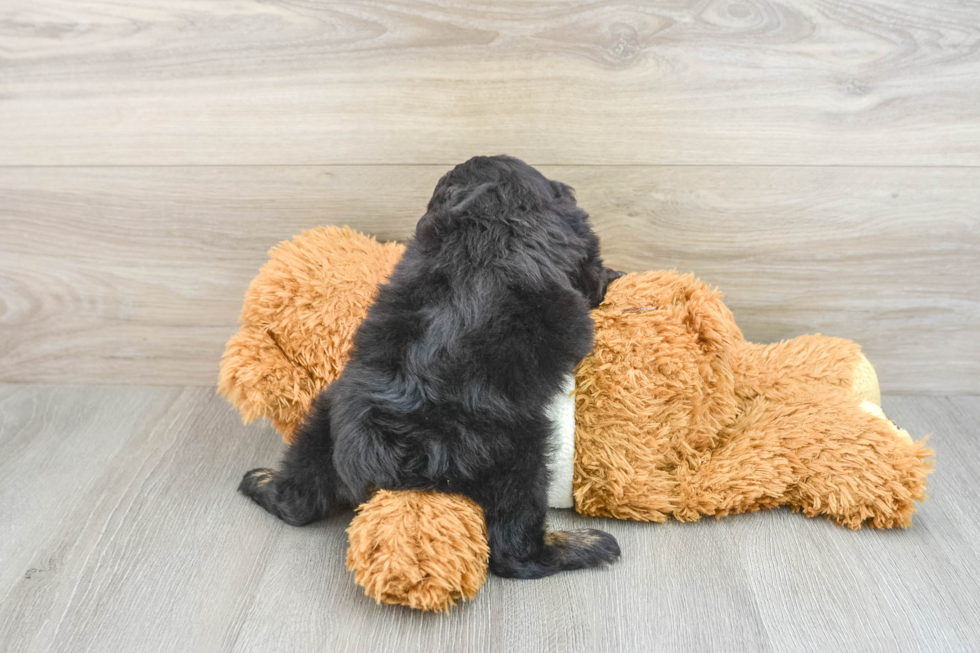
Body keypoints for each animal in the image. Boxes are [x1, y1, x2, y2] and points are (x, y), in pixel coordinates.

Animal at [239, 155, 620, 580]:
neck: (489, 209)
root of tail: (391, 450)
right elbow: (593, 278)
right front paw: (613, 276)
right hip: (517, 450)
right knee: (514, 548)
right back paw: (585, 545)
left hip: (325, 416)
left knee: (299, 497)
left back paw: (262, 482)